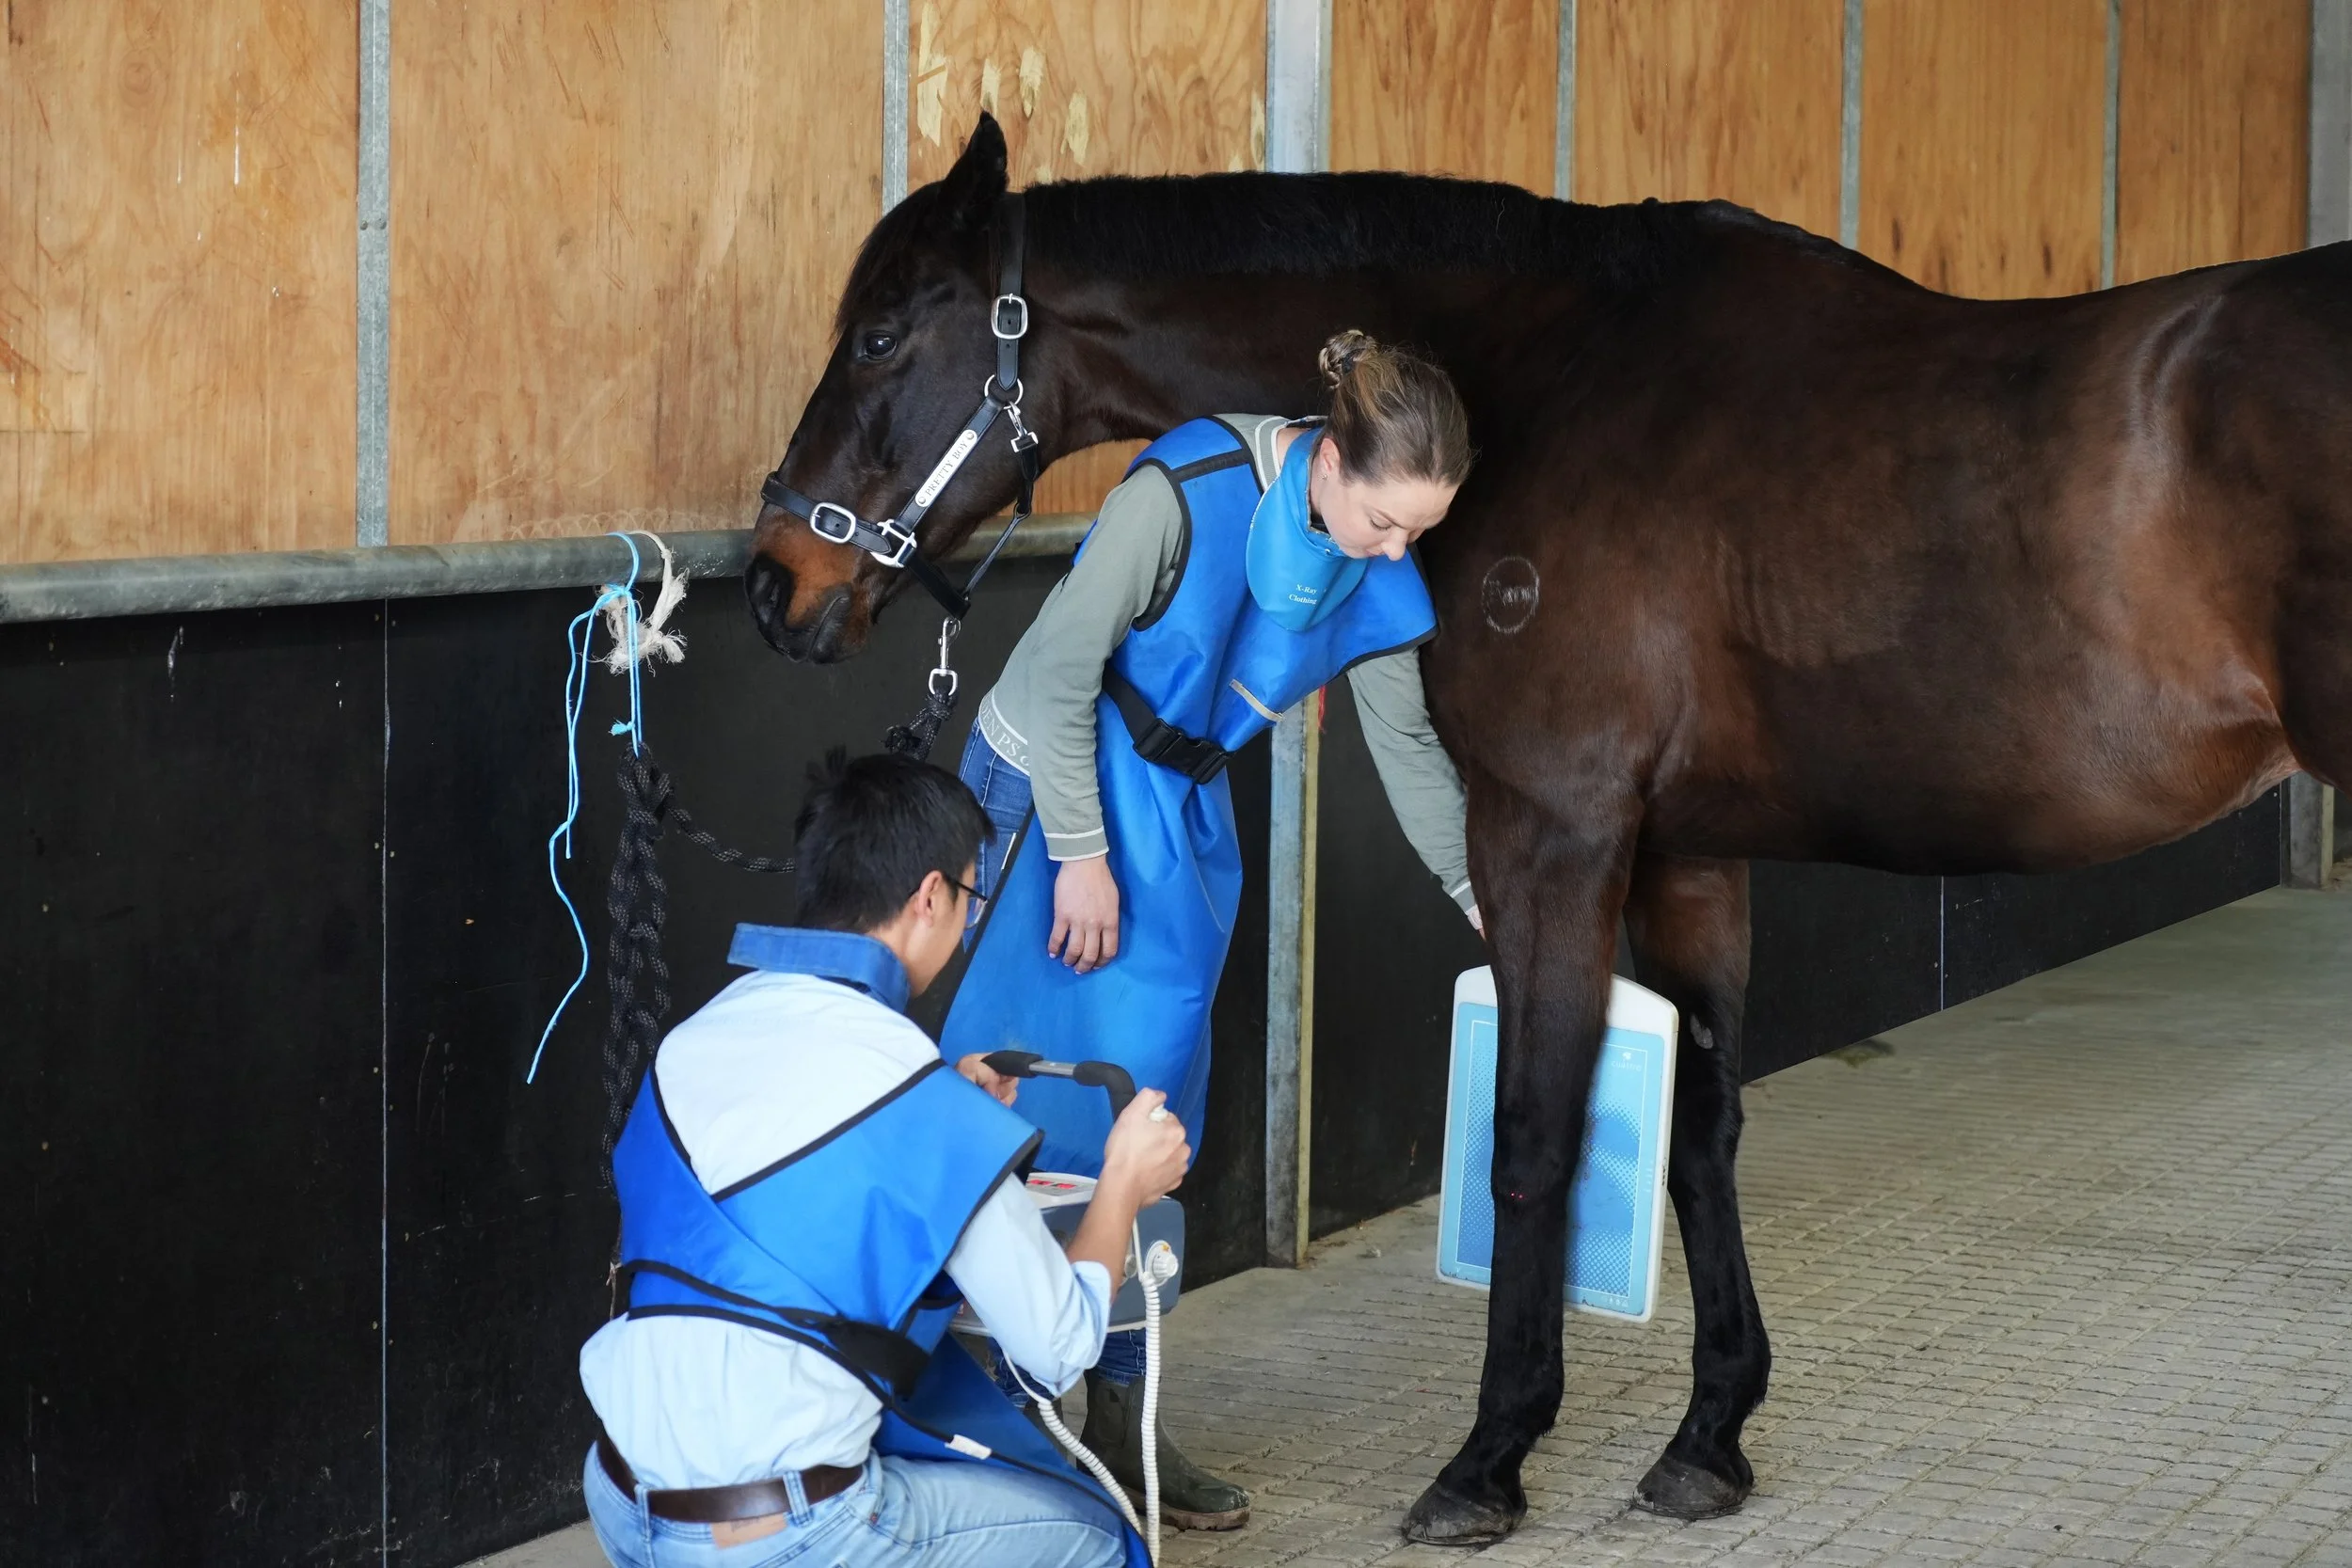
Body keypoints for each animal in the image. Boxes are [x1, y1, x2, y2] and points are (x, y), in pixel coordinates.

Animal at [747, 114, 2351, 1545]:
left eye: (883, 333)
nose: (773, 582)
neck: (1552, 368)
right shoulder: (1688, 850)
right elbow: (1701, 1129)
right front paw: (1709, 1434)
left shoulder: (1552, 828)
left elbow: (1534, 1131)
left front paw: (1488, 1457)